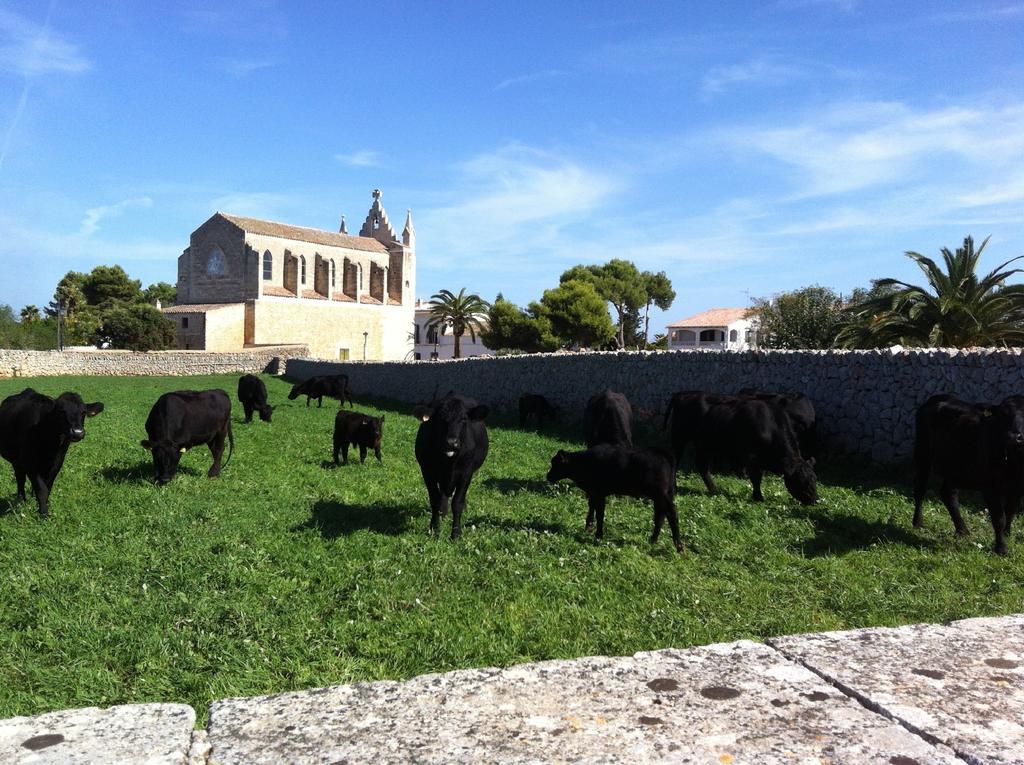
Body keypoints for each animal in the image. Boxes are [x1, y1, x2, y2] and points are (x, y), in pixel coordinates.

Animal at [0, 389, 103, 520]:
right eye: (61, 411)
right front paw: (44, 514)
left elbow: (48, 487)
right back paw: (21, 500)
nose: (77, 432)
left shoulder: (57, 461)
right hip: (16, 460)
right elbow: (41, 489)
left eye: (83, 412)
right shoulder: (29, 463)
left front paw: (44, 505)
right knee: (20, 478)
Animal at [411, 395, 487, 536]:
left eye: (464, 419)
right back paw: (443, 513)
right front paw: (434, 529)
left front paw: (456, 534)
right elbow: (435, 500)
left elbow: (458, 502)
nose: (452, 442)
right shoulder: (428, 471)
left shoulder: (466, 473)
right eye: (440, 418)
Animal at [548, 446, 684, 553]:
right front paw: (588, 527)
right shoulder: (593, 493)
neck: (584, 463)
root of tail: (661, 452)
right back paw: (653, 539)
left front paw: (598, 536)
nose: (548, 476)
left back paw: (679, 547)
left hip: (660, 494)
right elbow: (592, 508)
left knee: (672, 512)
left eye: (555, 464)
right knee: (661, 515)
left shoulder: (599, 494)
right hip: (661, 495)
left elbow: (600, 514)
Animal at [913, 395, 1024, 557]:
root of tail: (938, 398)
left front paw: (1007, 534)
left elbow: (1011, 511)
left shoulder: (1017, 489)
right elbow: (999, 518)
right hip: (922, 453)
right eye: (1003, 415)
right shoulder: (990, 488)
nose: (1013, 437)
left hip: (954, 469)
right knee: (920, 490)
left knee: (948, 494)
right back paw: (918, 523)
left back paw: (962, 529)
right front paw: (1001, 548)